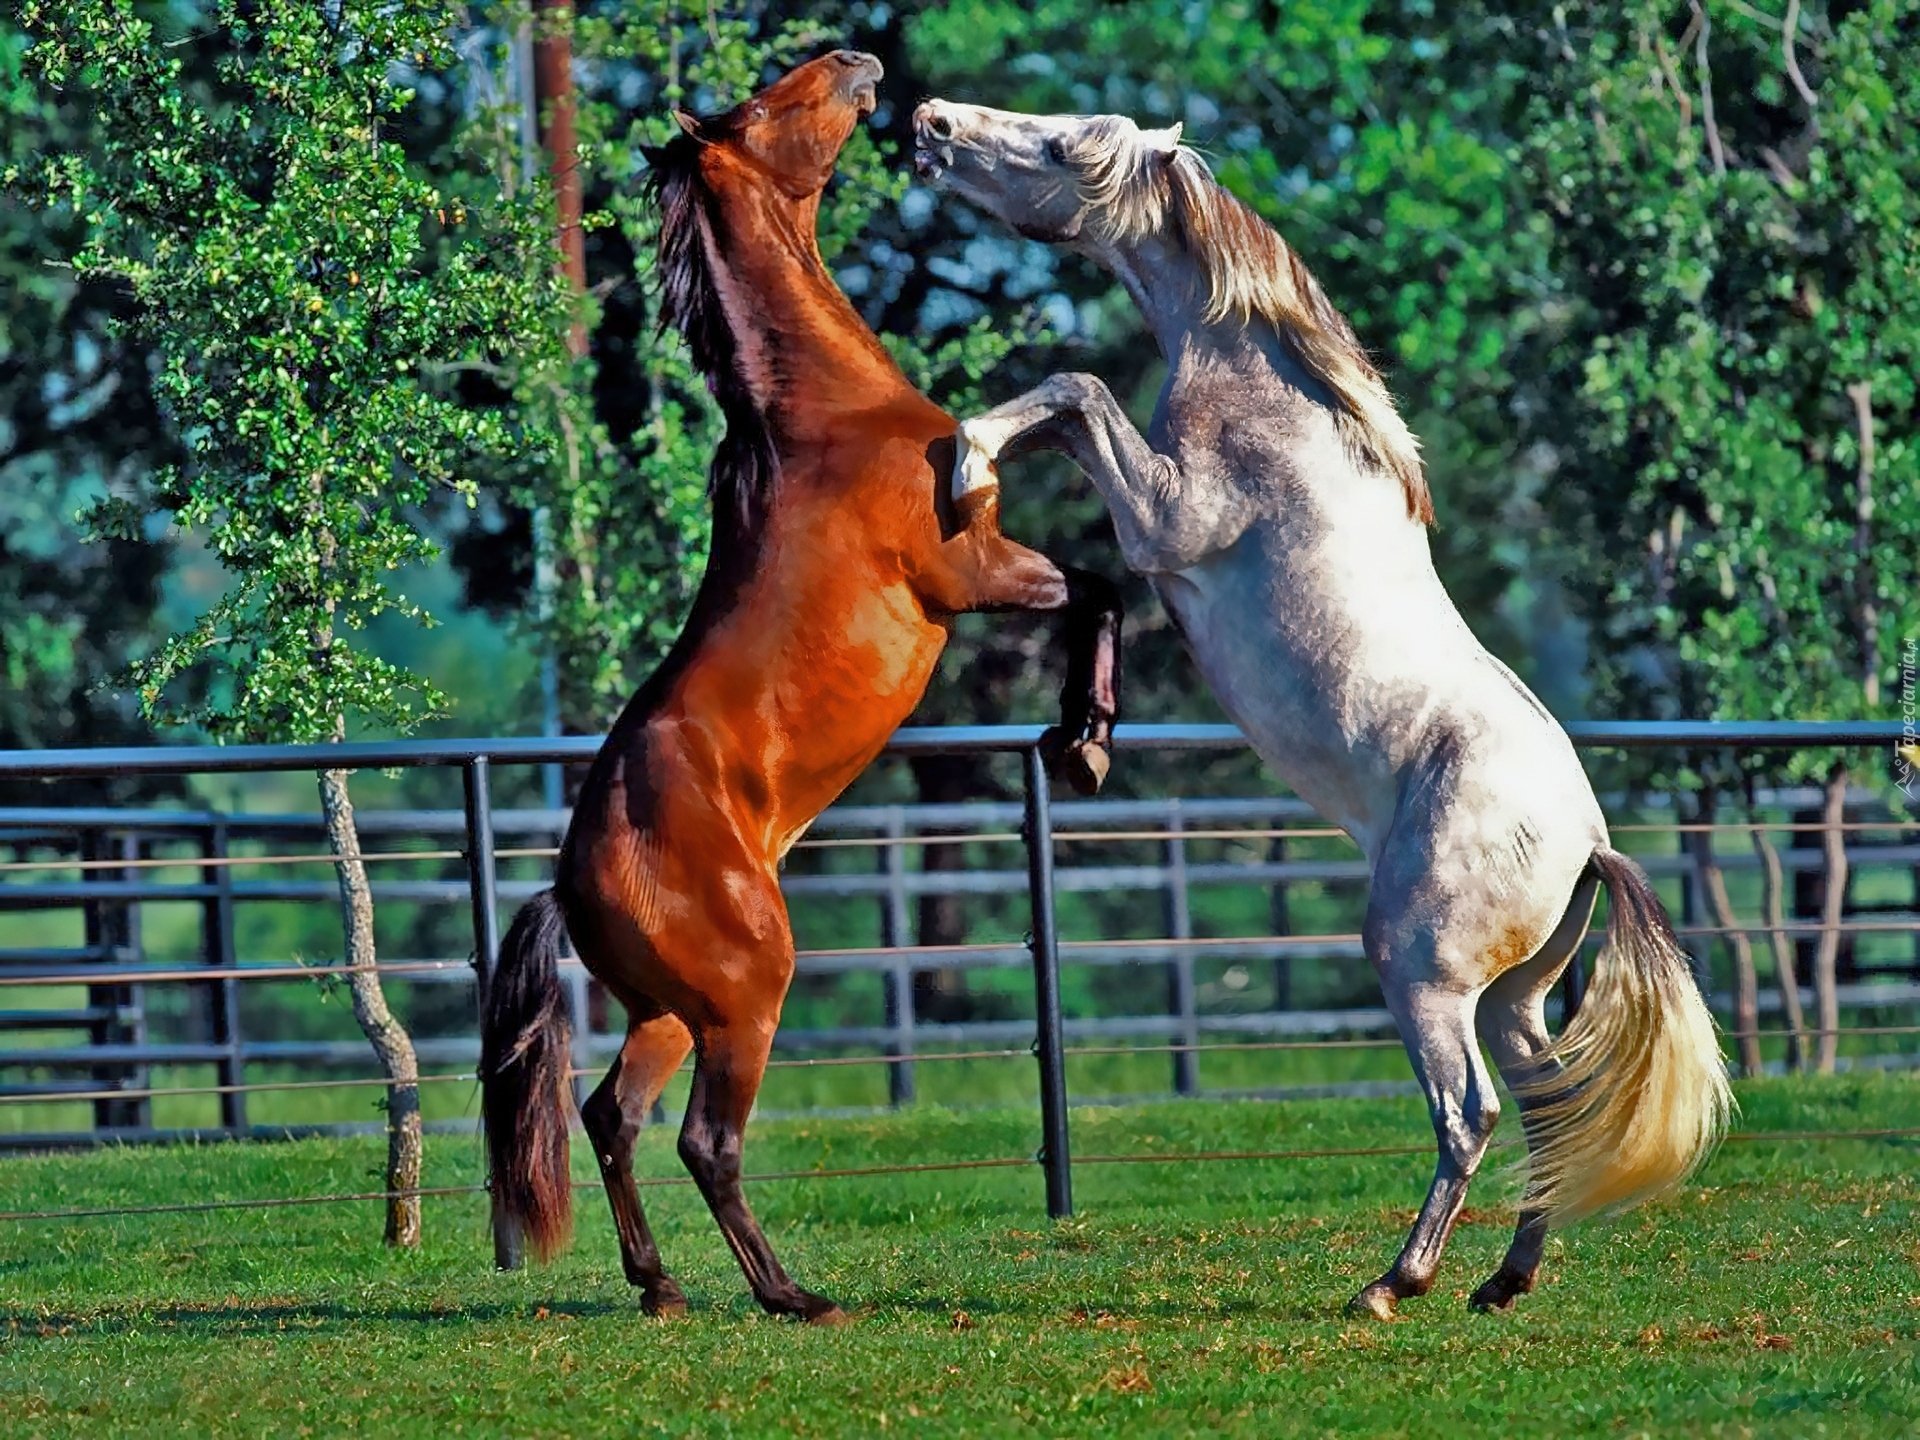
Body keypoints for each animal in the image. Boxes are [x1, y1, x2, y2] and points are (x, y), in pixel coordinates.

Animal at [474, 50, 1121, 1328]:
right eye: (767, 104)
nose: (855, 61)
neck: (827, 416)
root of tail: (569, 882)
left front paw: (1082, 734)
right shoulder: (971, 572)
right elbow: (1100, 583)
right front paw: (1082, 736)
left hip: (672, 1012)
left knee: (610, 1117)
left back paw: (662, 1289)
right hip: (747, 996)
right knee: (703, 1142)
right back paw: (791, 1295)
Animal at [906, 101, 1735, 1320]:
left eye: (1059, 147)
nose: (929, 123)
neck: (1278, 403)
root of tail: (1587, 841)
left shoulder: (1165, 518)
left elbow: (1075, 390)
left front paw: (965, 461)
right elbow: (1064, 405)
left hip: (1420, 970)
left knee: (1471, 1112)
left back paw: (1397, 1282)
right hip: (1514, 996)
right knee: (1547, 1106)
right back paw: (1503, 1281)